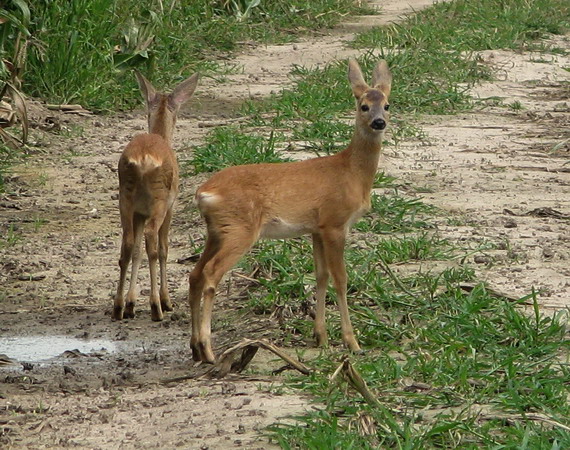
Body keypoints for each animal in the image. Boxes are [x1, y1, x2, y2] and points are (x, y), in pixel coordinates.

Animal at [112, 70, 199, 322]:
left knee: (127, 244)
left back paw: (118, 307)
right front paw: (165, 300)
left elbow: (136, 251)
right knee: (152, 241)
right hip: (159, 201)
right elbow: (163, 249)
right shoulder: (171, 205)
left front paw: (131, 303)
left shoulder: (139, 212)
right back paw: (157, 307)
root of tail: (143, 160)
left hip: (125, 200)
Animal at [189, 59, 388, 362]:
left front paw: (321, 337)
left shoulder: (316, 228)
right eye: (363, 106)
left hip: (216, 230)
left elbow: (321, 276)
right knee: (211, 273)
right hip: (240, 229)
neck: (351, 173)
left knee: (195, 274)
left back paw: (195, 349)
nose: (379, 122)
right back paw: (208, 349)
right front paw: (351, 342)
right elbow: (341, 279)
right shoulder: (334, 222)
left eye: (387, 104)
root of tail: (204, 192)